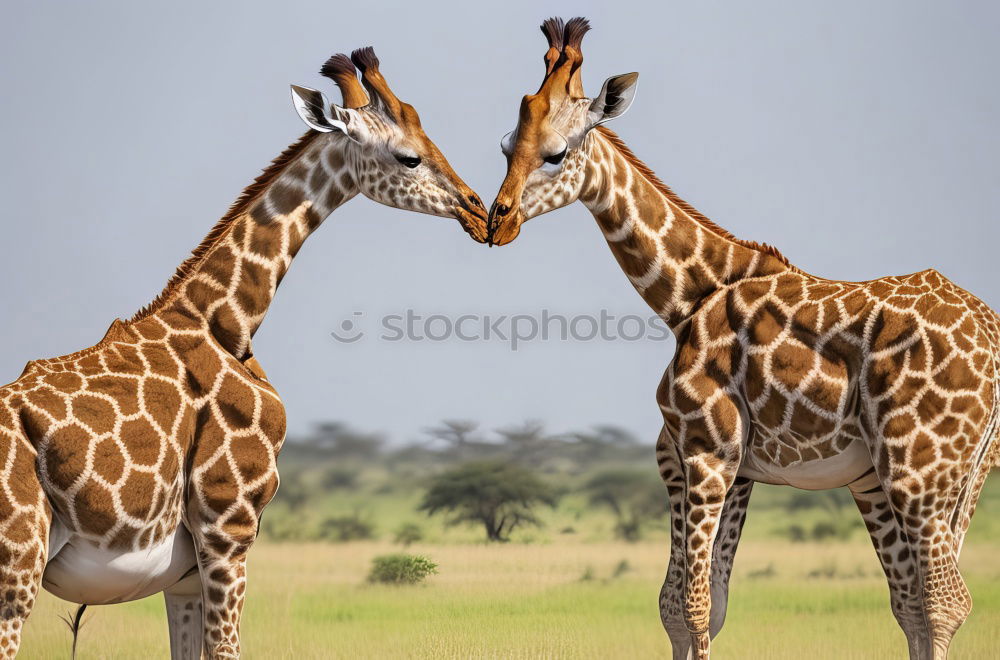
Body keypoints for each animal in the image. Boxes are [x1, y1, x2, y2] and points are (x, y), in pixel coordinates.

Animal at [0, 47, 488, 660]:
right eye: (409, 156)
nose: (479, 211)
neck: (225, 322)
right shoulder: (227, 529)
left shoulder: (182, 574)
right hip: (17, 568)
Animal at [488, 16, 1000, 660]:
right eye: (505, 145)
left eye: (556, 154)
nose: (497, 221)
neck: (686, 297)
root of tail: (992, 336)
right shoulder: (698, 463)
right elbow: (686, 607)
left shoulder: (710, 451)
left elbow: (694, 606)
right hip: (941, 476)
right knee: (918, 602)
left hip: (918, 466)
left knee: (941, 602)